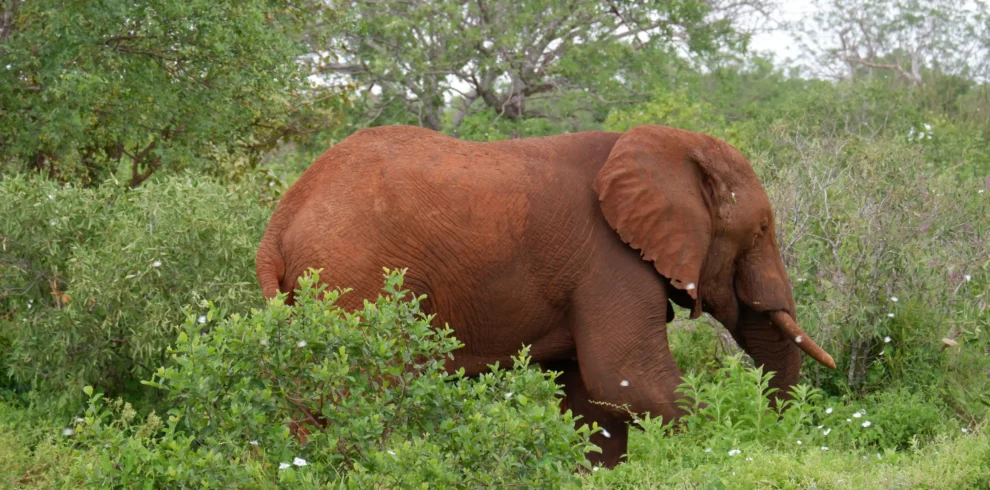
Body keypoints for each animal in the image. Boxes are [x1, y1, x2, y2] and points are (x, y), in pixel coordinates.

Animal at [255, 124, 836, 468]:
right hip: (354, 279)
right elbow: (628, 378)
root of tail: (280, 220)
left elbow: (592, 399)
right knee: (365, 391)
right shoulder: (609, 260)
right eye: (760, 231)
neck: (664, 146)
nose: (776, 433)